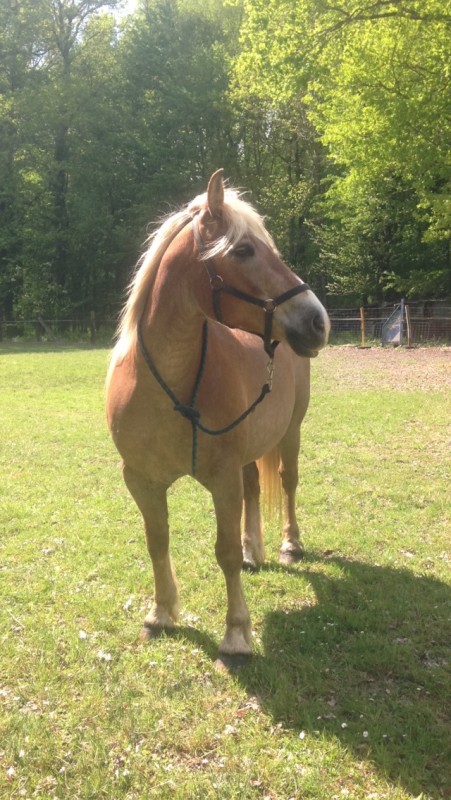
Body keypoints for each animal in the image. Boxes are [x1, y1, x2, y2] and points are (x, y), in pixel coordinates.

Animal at [106, 169, 330, 663]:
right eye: (243, 250)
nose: (318, 321)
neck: (167, 388)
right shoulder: (141, 480)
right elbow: (157, 540)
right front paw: (162, 613)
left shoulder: (222, 478)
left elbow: (224, 552)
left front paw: (237, 634)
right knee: (254, 489)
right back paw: (255, 550)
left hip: (291, 432)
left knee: (287, 482)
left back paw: (289, 544)